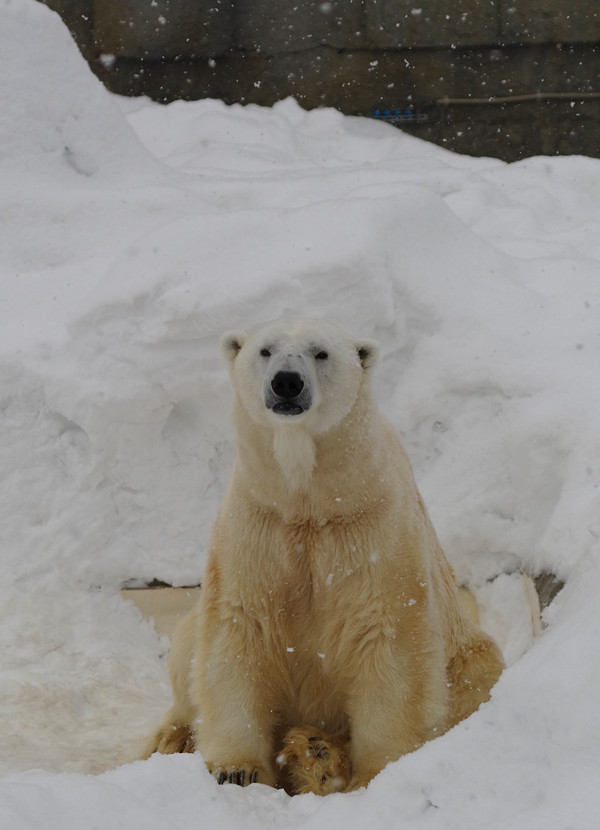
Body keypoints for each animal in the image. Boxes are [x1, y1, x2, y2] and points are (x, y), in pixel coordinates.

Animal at [143, 316, 504, 792]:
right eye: (265, 349)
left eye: (321, 352)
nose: (287, 382)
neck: (310, 503)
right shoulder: (257, 523)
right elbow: (238, 629)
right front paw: (236, 769)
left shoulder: (371, 528)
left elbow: (387, 639)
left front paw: (376, 773)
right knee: (187, 650)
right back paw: (175, 738)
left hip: (464, 652)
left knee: (477, 677)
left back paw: (318, 754)